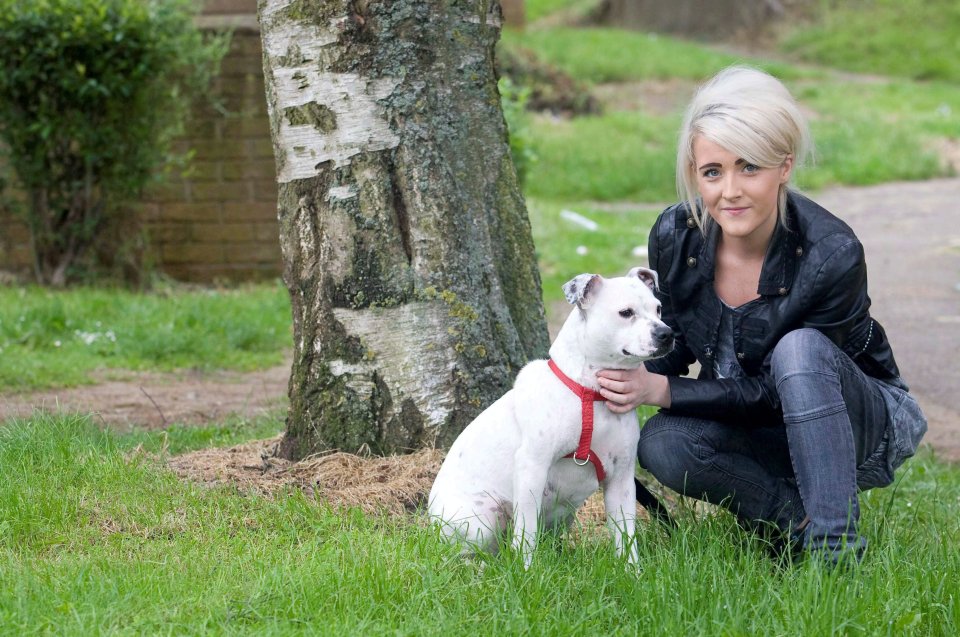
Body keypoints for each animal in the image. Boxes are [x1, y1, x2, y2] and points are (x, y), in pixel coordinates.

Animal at [428, 266, 676, 564]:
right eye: (626, 312)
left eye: (659, 308)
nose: (667, 333)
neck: (590, 395)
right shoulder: (532, 468)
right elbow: (526, 534)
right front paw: (526, 570)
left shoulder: (622, 479)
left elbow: (626, 537)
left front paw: (632, 571)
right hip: (482, 517)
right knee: (460, 554)